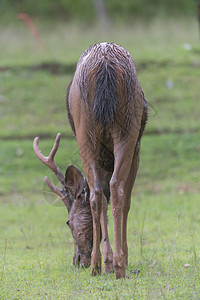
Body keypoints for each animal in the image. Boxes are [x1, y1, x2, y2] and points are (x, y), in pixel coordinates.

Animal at [33, 42, 148, 278]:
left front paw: (109, 261)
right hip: (125, 129)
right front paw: (116, 260)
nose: (77, 260)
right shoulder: (137, 149)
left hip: (87, 132)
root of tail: (104, 64)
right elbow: (122, 199)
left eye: (67, 221)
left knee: (100, 193)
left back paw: (100, 264)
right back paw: (115, 265)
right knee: (114, 188)